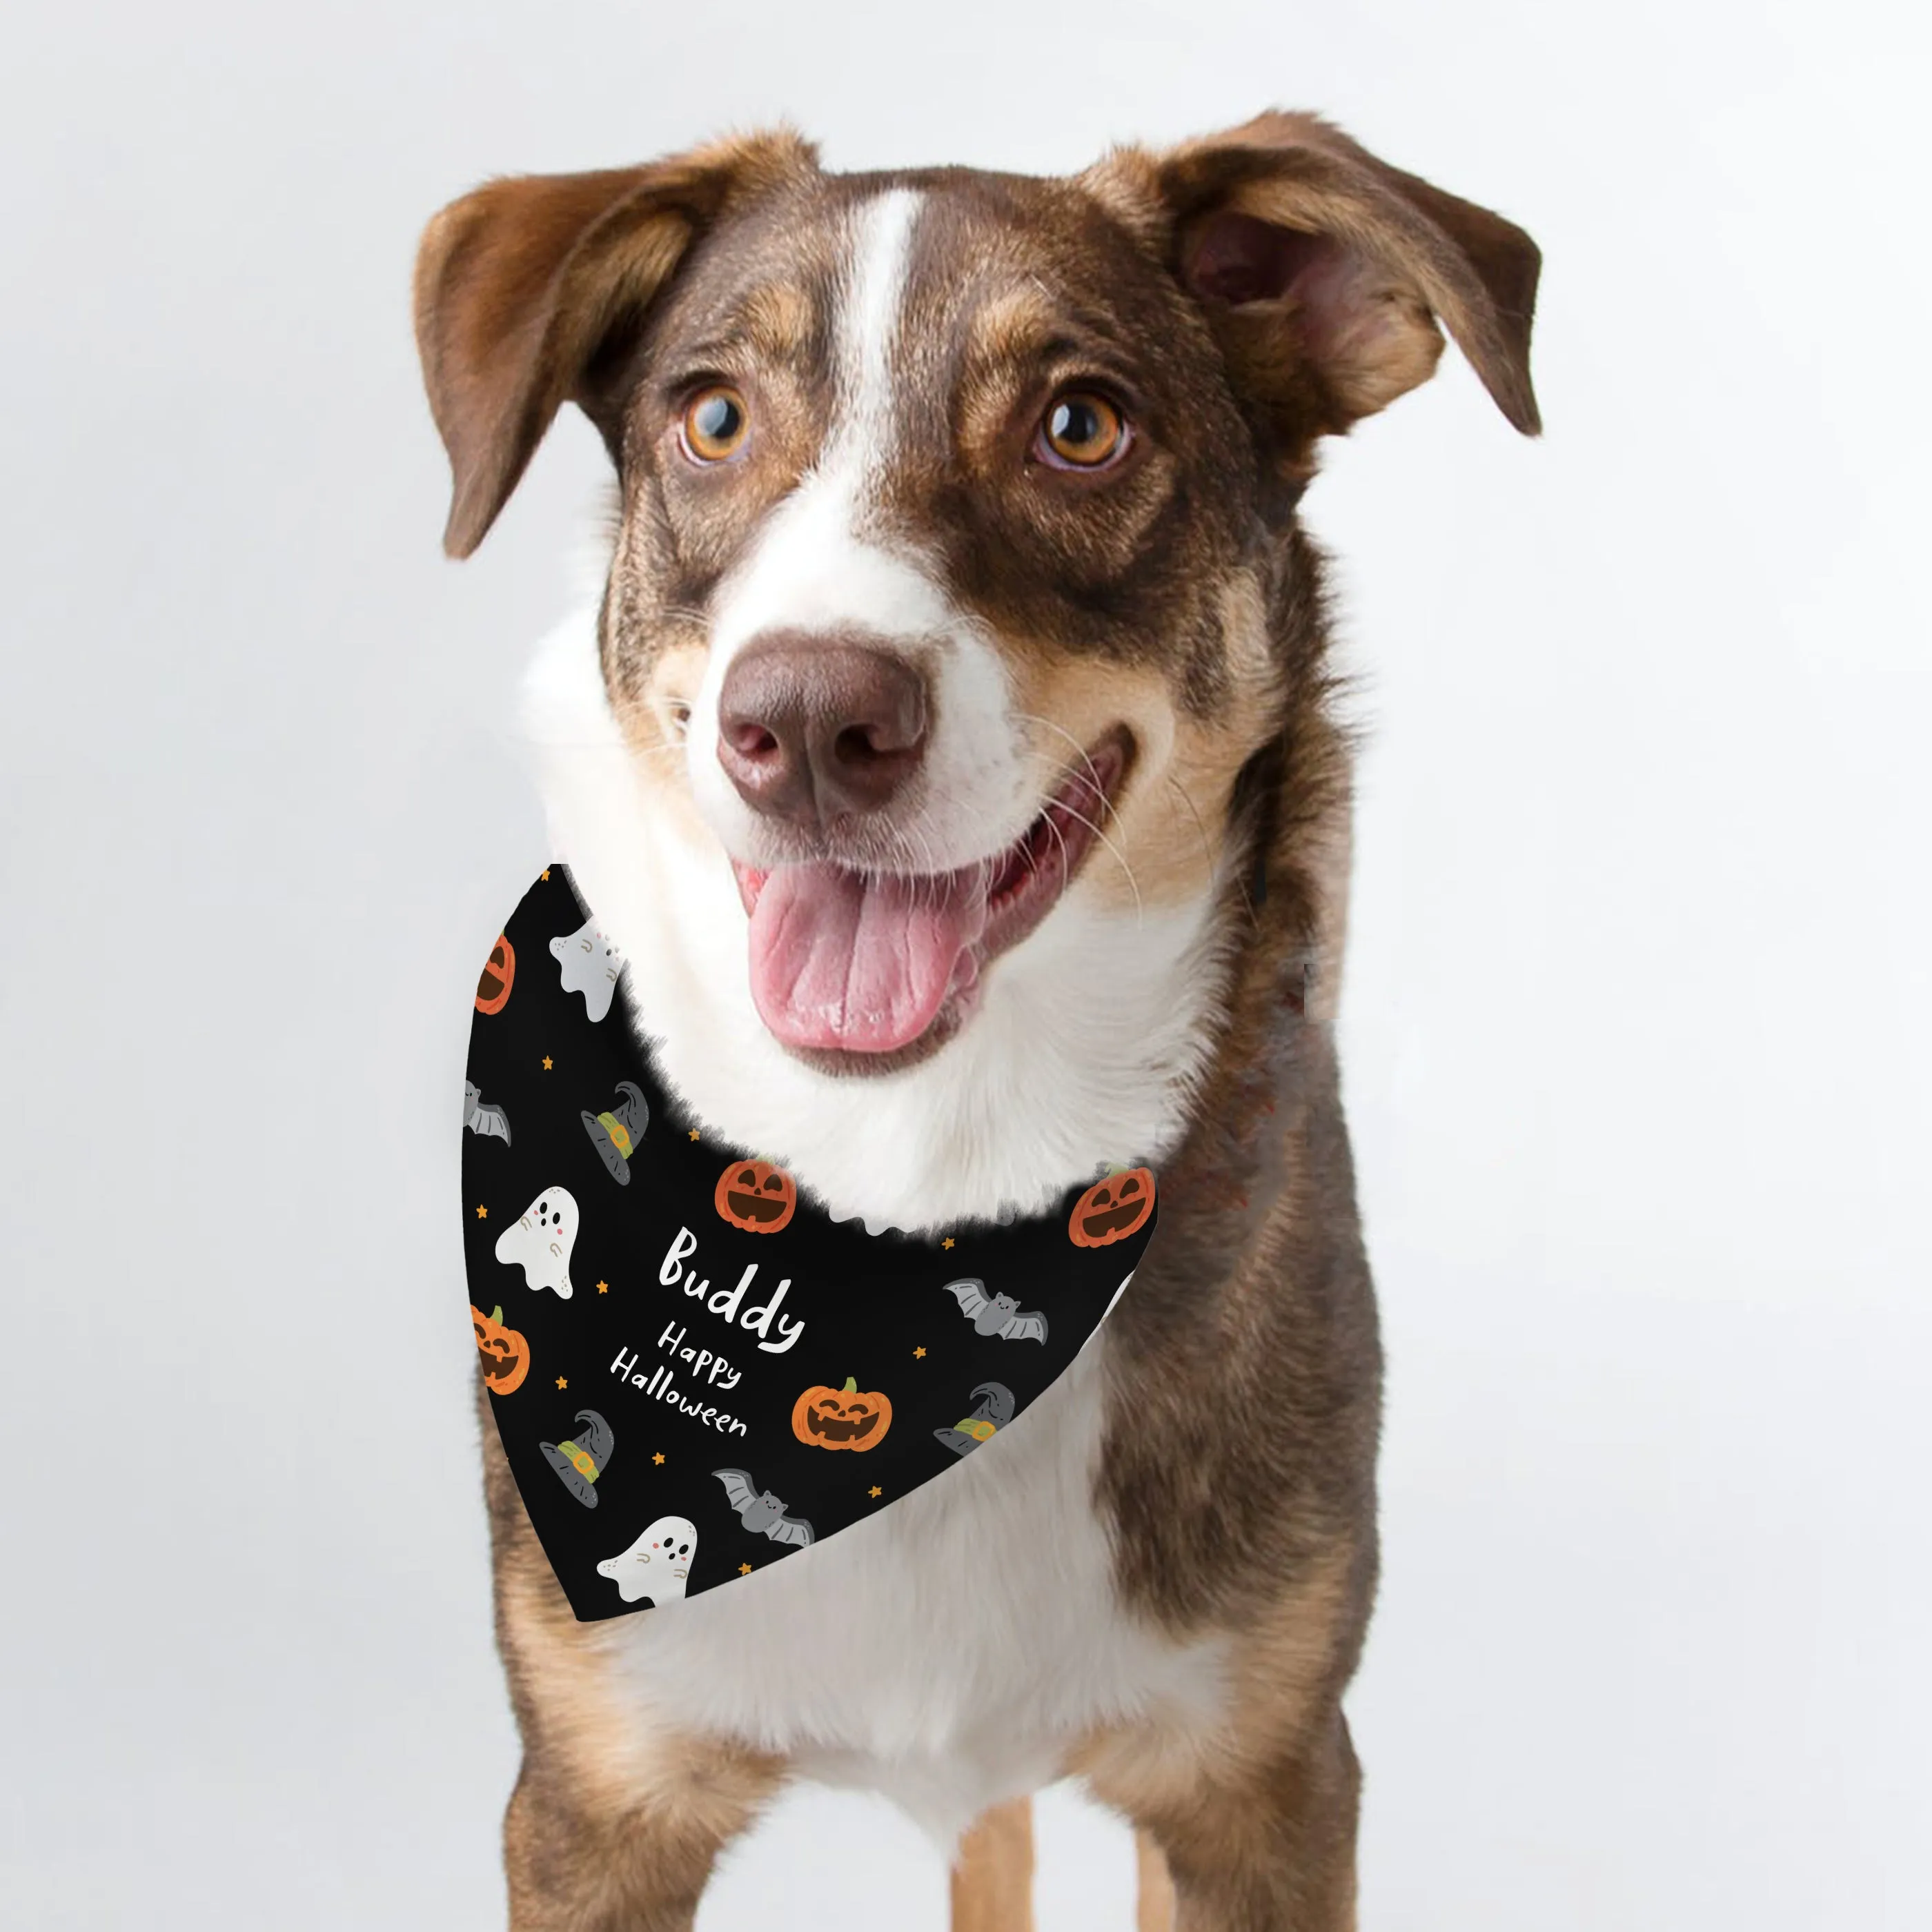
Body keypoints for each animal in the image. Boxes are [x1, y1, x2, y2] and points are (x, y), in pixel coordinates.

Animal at [419, 117, 1537, 1932]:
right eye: (712, 415)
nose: (808, 719)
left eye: (1081, 426)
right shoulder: (591, 1798)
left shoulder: (1263, 1786)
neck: (902, 1194)